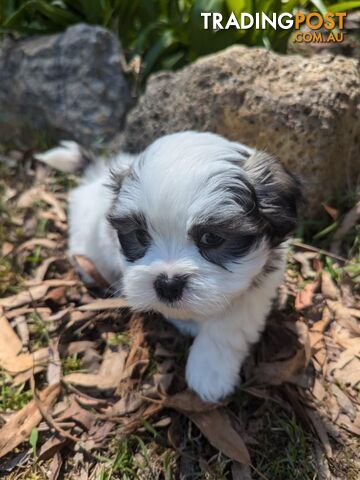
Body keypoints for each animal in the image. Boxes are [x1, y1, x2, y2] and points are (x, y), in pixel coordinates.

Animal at [36, 130, 300, 402]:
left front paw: (210, 370)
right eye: (141, 236)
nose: (168, 285)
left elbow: (230, 326)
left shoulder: (259, 284)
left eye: (211, 238)